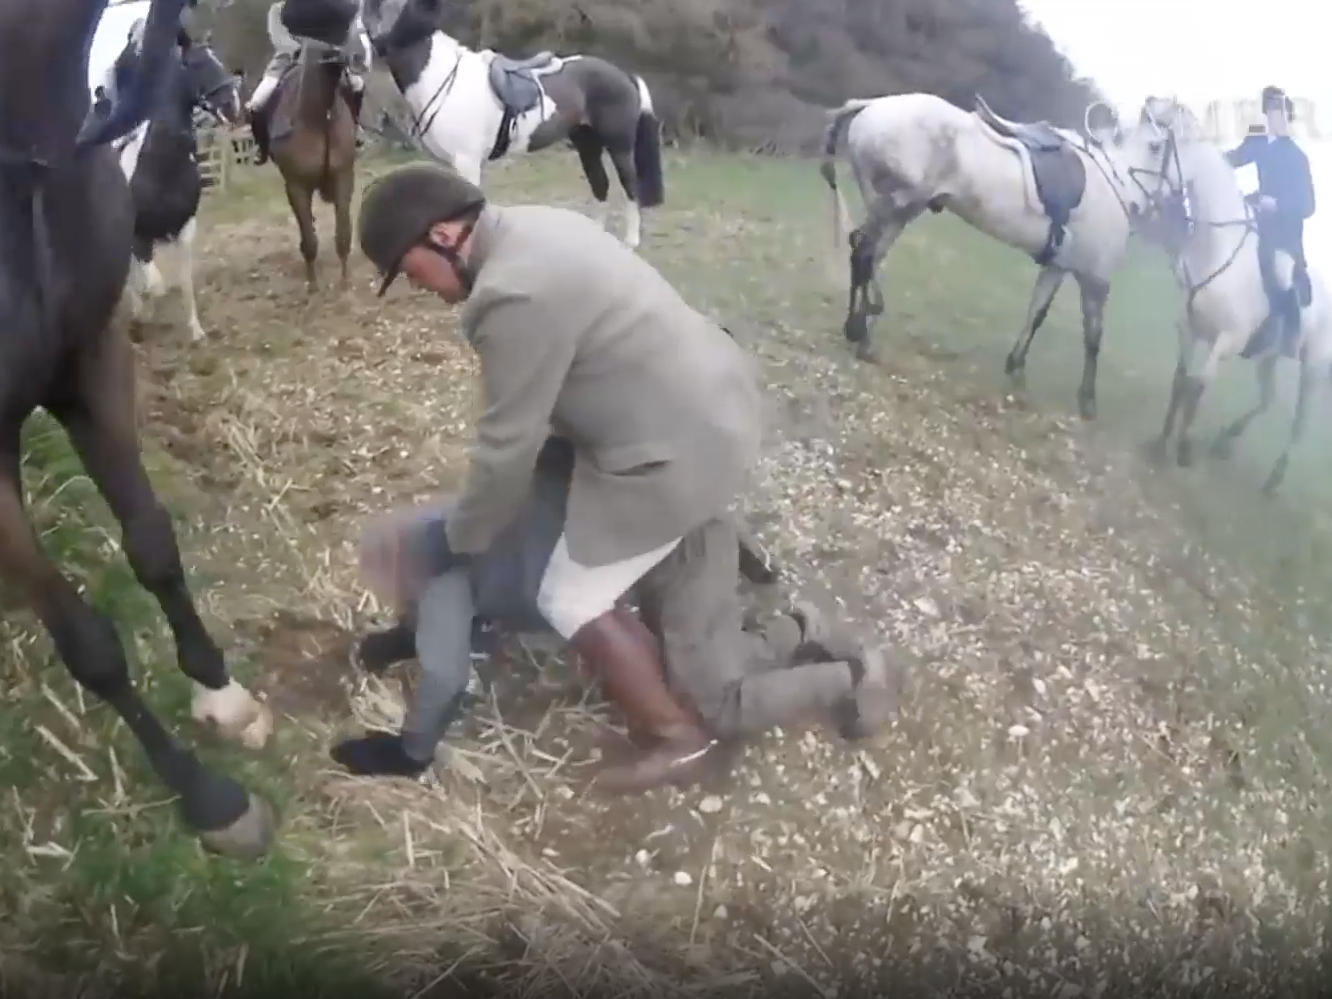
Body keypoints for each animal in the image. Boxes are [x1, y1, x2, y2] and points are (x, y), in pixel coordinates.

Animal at [0, 0, 275, 863]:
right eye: (196, 57)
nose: (235, 103)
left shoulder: (88, 364)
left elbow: (153, 543)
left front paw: (220, 692)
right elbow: (87, 641)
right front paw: (207, 795)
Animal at [261, 44, 359, 291]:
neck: (319, 115)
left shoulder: (344, 177)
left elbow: (343, 234)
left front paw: (345, 280)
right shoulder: (296, 186)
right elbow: (309, 238)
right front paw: (312, 284)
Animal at [362, 0, 663, 250]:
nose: (358, 56)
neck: (443, 78)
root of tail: (625, 76)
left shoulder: (466, 162)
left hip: (619, 146)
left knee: (630, 186)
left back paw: (631, 240)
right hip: (587, 143)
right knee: (600, 184)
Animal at [815, 91, 1150, 420]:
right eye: (1158, 146)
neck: (1115, 182)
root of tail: (872, 104)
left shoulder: (1057, 267)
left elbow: (1037, 314)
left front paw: (1016, 368)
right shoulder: (1095, 278)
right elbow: (1093, 337)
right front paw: (1088, 402)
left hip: (899, 211)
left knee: (868, 255)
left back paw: (861, 331)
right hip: (895, 206)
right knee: (864, 255)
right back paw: (861, 332)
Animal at [1124, 95, 1332, 495]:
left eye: (1155, 145)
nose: (1133, 208)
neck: (1215, 249)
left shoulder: (1227, 341)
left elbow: (1198, 389)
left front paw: (1183, 451)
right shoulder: (1188, 329)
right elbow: (1179, 383)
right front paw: (1161, 443)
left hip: (1313, 368)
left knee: (1298, 423)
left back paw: (1274, 478)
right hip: (1270, 356)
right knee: (1267, 398)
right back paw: (1225, 440)